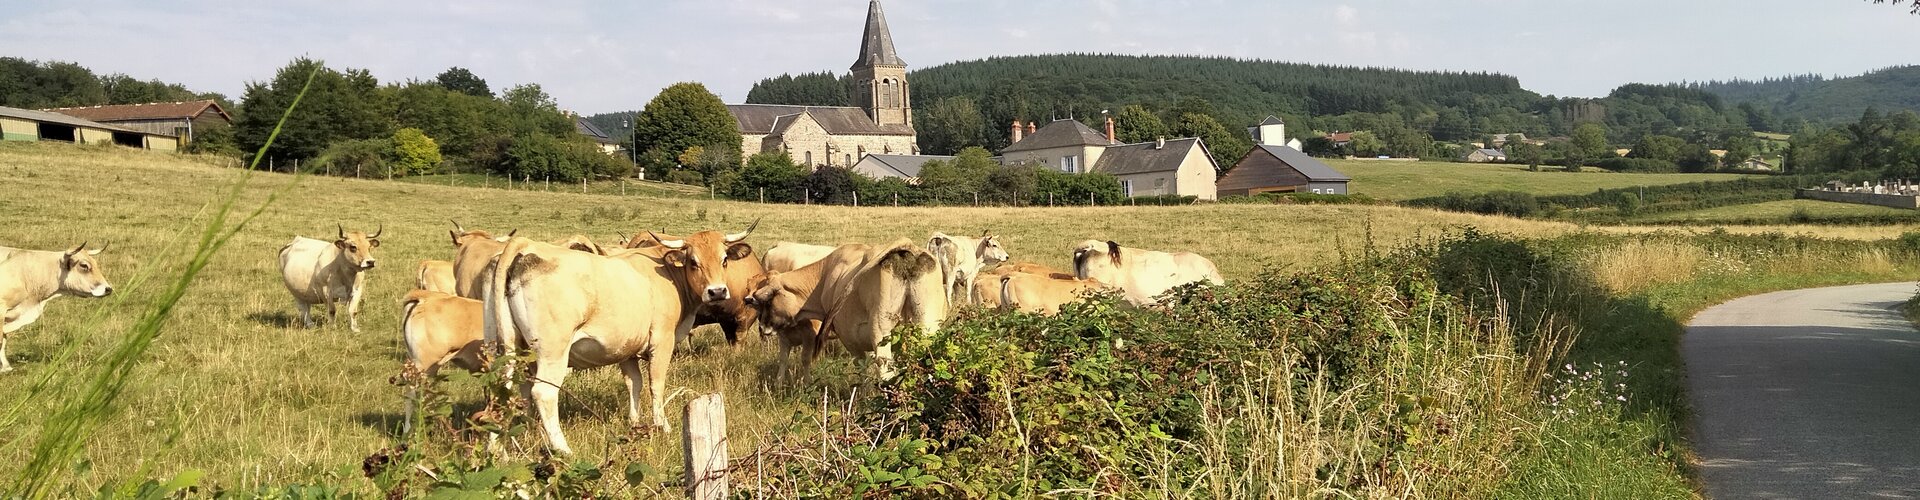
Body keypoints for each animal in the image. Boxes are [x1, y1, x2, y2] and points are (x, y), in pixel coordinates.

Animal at [487, 221, 756, 455]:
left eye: (724, 259)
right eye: (693, 261)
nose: (717, 291)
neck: (667, 273)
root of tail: (526, 245)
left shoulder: (626, 348)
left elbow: (633, 383)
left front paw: (635, 423)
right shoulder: (662, 340)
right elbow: (656, 384)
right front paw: (663, 426)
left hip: (508, 351)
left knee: (504, 392)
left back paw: (503, 448)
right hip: (552, 352)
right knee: (543, 393)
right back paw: (562, 449)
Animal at [737, 240, 940, 380]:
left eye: (768, 300)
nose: (762, 327)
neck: (825, 276)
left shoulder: (850, 339)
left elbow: (862, 370)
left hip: (880, 332)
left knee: (885, 371)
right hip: (927, 328)